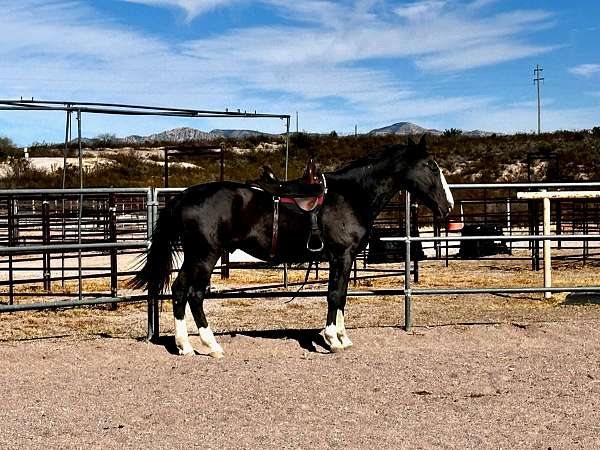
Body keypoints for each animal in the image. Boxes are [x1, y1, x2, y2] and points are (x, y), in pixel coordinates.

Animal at [130, 135, 450, 356]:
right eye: (431, 166)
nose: (448, 206)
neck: (350, 195)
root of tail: (184, 196)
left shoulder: (341, 259)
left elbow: (341, 296)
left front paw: (343, 338)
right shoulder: (342, 256)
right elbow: (335, 295)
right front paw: (332, 339)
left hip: (196, 257)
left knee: (179, 291)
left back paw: (185, 346)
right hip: (204, 256)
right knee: (193, 294)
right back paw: (211, 345)